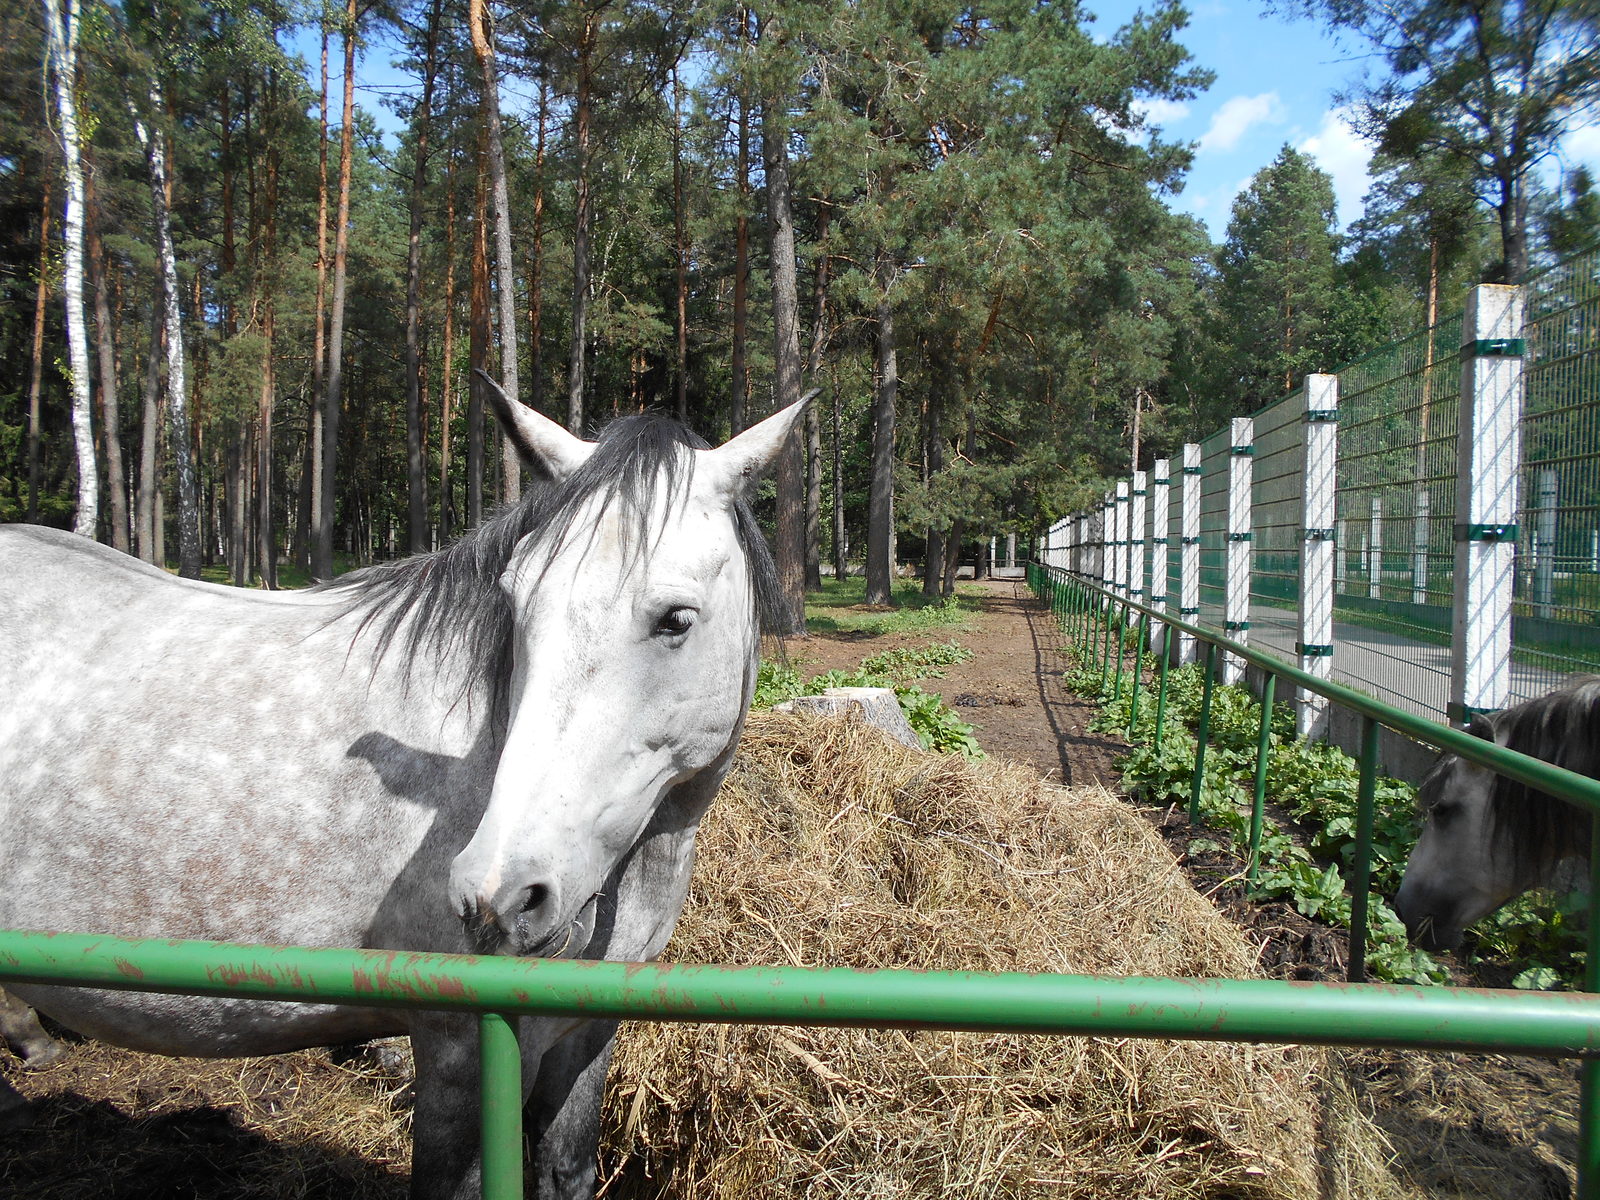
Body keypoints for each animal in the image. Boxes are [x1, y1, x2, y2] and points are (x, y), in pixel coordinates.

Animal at [0, 387, 806, 1200]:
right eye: (516, 608)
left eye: (676, 620)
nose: (501, 895)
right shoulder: (460, 1053)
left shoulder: (585, 1036)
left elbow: (568, 1168)